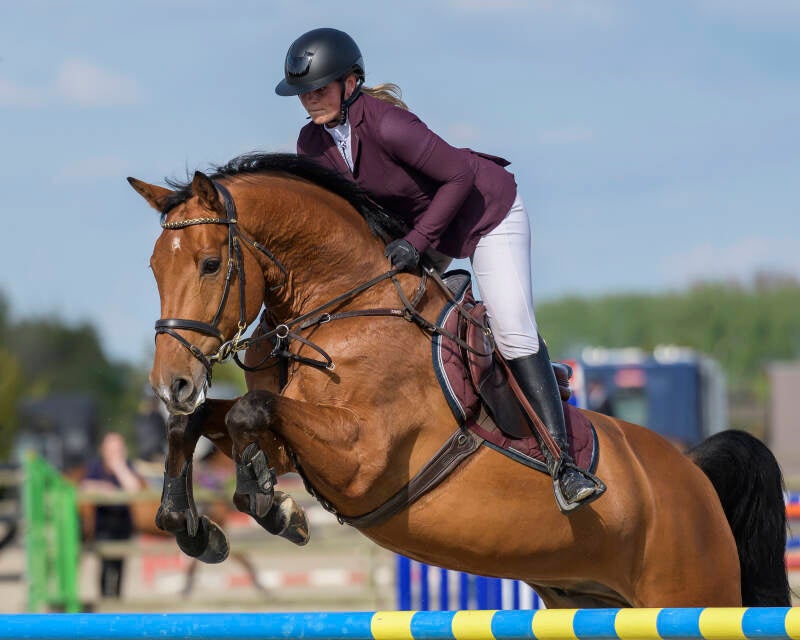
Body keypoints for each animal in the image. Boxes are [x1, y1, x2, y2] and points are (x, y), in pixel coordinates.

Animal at [128, 153, 790, 608]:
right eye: (153, 268)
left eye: (211, 264)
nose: (170, 383)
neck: (343, 310)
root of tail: (693, 472)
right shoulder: (296, 442)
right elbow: (205, 421)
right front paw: (190, 525)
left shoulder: (362, 456)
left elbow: (248, 412)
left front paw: (272, 505)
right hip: (588, 597)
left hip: (689, 592)